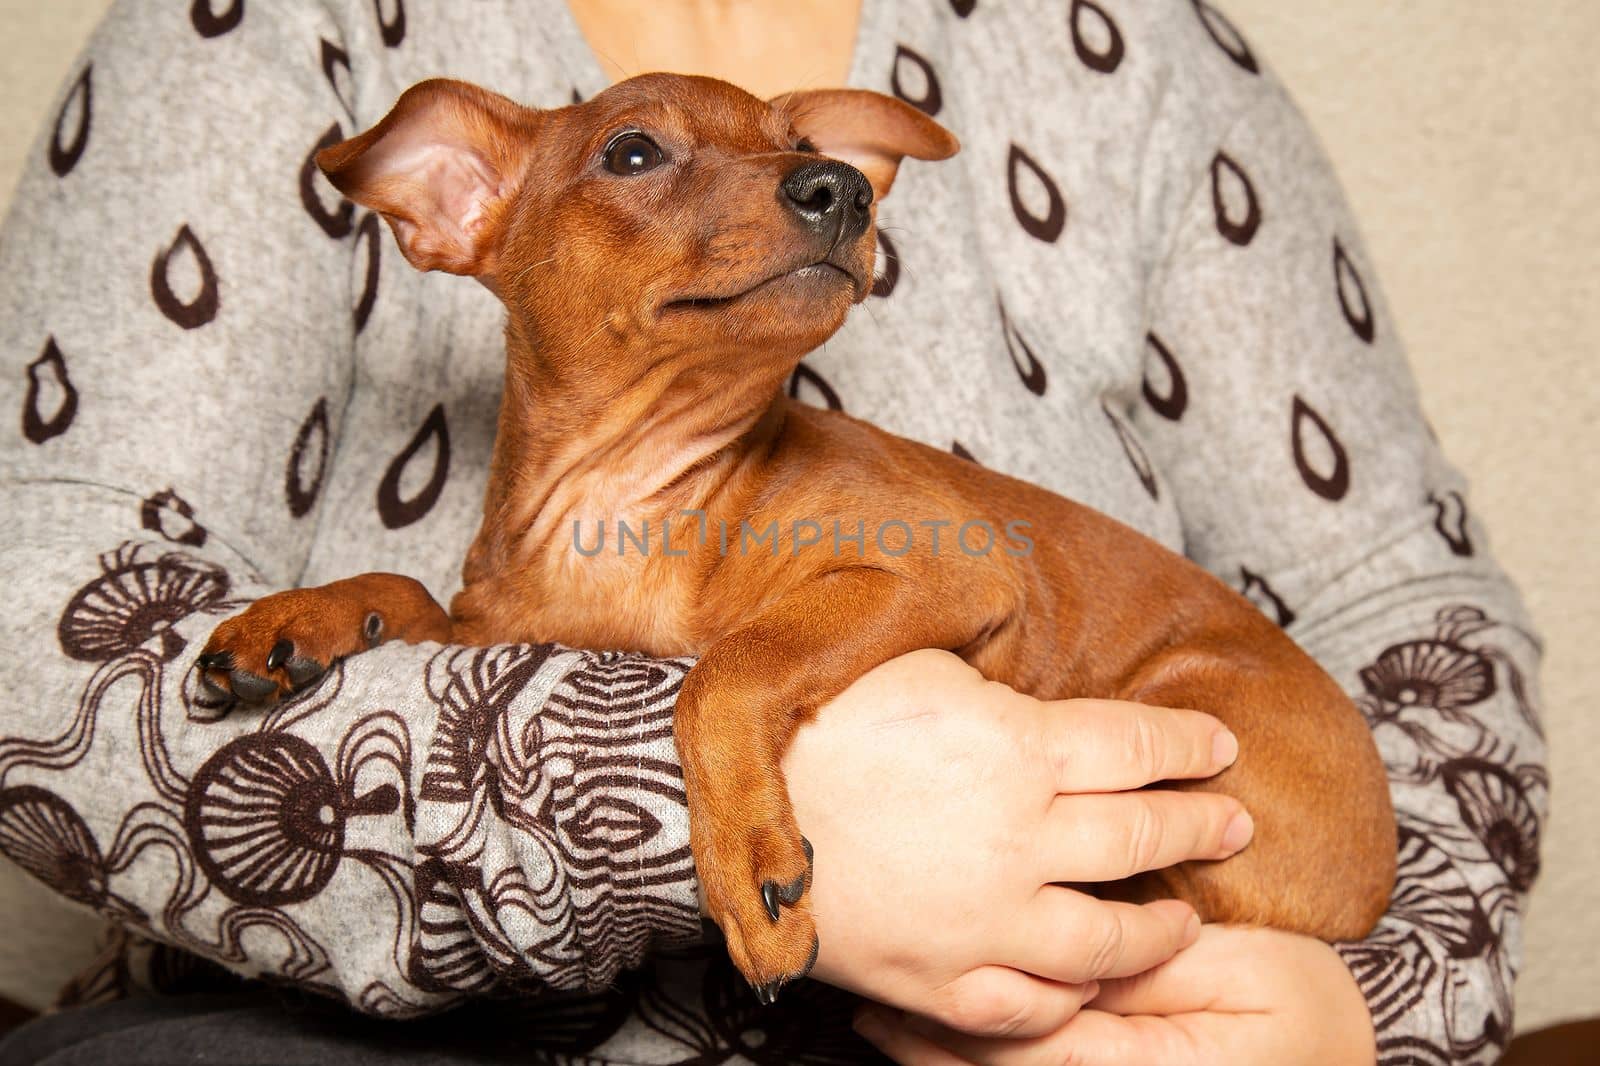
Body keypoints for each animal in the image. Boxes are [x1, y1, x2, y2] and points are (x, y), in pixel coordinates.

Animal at [200, 72, 1395, 998]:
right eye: (632, 152)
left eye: (809, 148)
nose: (845, 188)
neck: (637, 497)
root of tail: (1378, 874)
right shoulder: (504, 639)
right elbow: (406, 591)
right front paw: (290, 622)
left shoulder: (939, 577)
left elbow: (727, 666)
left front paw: (746, 867)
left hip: (1192, 713)